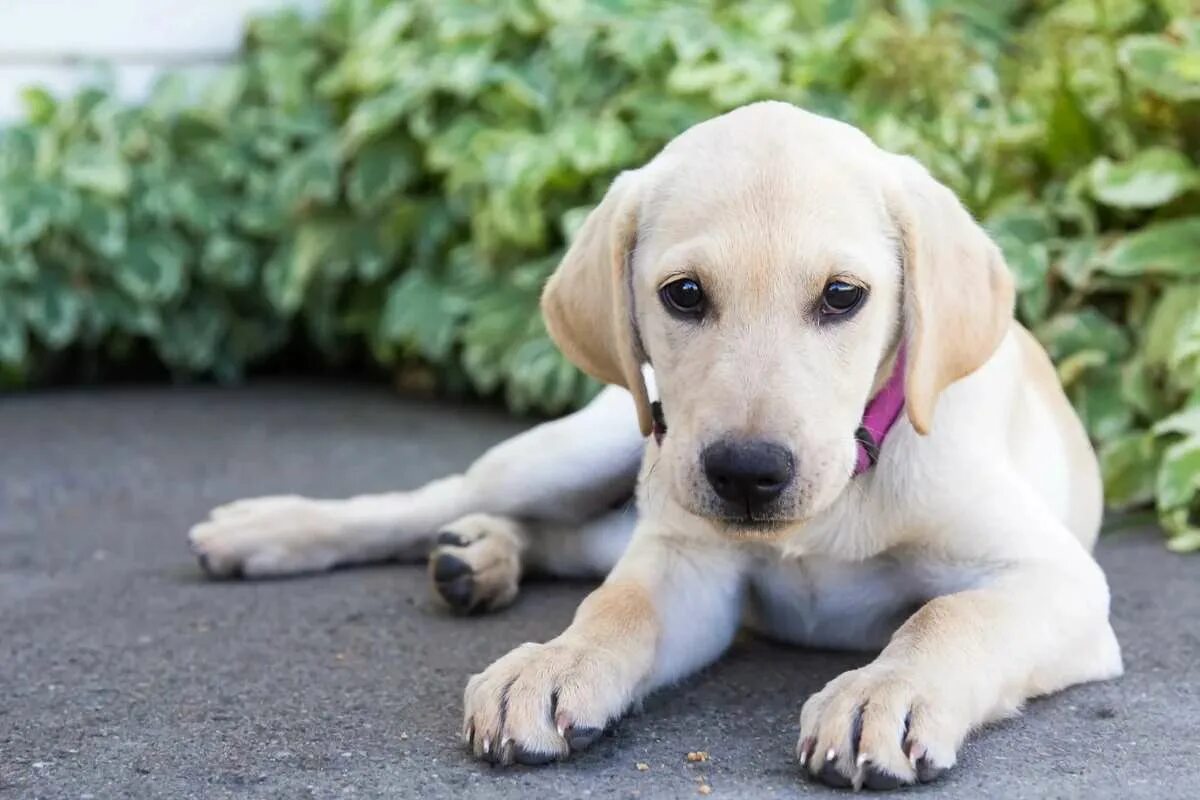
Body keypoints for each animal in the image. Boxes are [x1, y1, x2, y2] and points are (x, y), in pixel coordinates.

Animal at [182, 103, 1118, 791]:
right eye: (685, 295)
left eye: (844, 296)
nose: (747, 474)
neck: (849, 482)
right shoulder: (689, 565)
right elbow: (619, 607)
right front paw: (558, 662)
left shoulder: (1059, 579)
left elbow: (949, 614)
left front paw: (887, 691)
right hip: (598, 449)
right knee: (448, 500)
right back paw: (277, 530)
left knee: (571, 540)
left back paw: (481, 556)